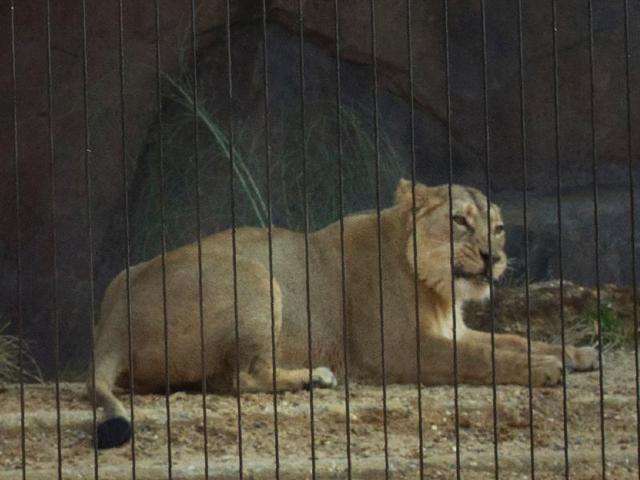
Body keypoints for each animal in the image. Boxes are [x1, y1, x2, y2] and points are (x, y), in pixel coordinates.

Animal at [88, 179, 598, 448]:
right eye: (459, 221)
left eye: (498, 228)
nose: (495, 258)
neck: (438, 290)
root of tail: (112, 324)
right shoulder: (402, 351)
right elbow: (485, 359)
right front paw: (546, 369)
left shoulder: (454, 331)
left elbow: (514, 340)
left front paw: (576, 354)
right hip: (256, 276)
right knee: (236, 378)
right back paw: (315, 377)